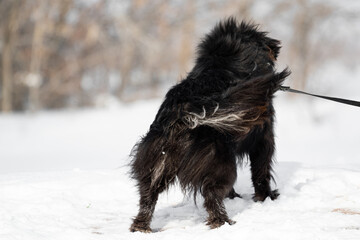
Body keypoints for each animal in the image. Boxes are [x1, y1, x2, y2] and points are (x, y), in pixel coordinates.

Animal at [129, 17, 290, 232]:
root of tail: (184, 112)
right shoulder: (264, 139)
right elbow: (261, 173)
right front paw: (266, 198)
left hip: (156, 161)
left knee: (147, 196)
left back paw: (141, 227)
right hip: (217, 162)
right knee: (212, 197)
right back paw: (223, 222)